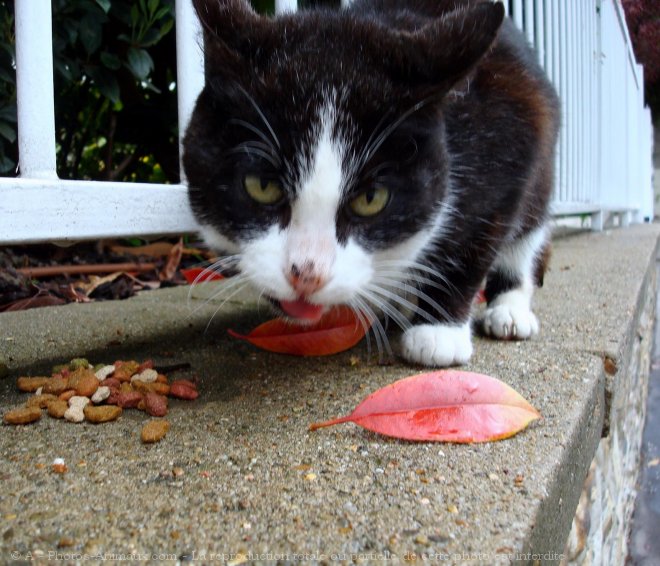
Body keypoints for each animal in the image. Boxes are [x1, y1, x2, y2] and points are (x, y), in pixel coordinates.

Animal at [183, 0, 560, 368]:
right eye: (262, 186)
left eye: (371, 198)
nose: (307, 275)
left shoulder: (507, 142)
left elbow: (476, 237)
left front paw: (438, 331)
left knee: (529, 227)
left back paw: (509, 309)